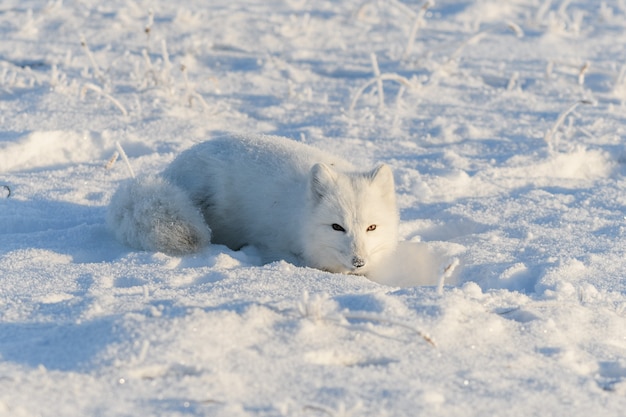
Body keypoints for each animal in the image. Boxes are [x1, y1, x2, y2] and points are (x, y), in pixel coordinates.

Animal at [106, 134, 400, 276]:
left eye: (372, 227)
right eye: (337, 227)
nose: (359, 261)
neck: (298, 213)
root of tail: (171, 170)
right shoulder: (274, 246)